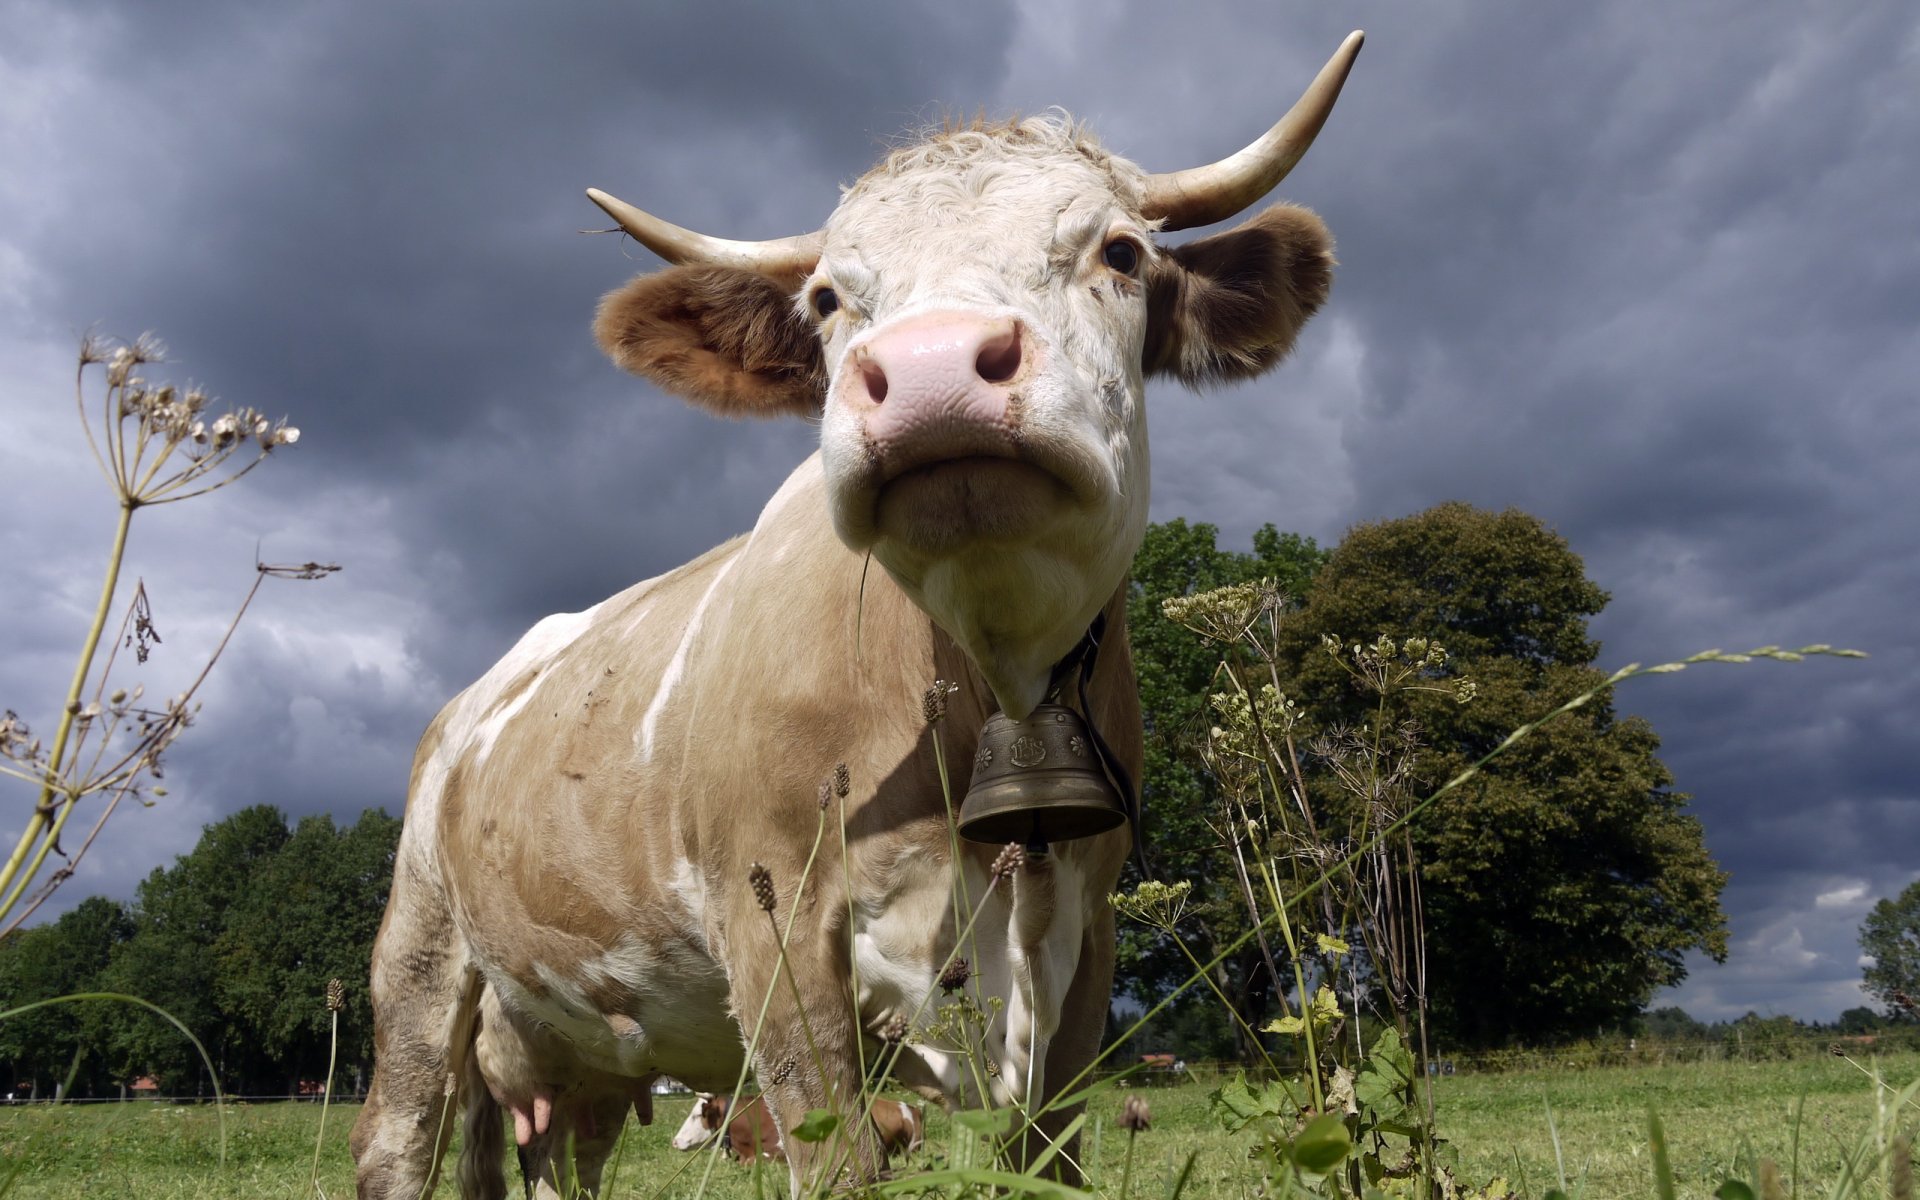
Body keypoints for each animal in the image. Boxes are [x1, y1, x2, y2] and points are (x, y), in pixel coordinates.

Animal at [350, 31, 1361, 1199]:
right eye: (829, 299)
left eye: (1120, 252)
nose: (930, 369)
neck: (980, 681)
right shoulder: (775, 926)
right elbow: (832, 1150)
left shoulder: (1087, 942)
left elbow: (1049, 1149)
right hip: (421, 959)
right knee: (398, 1137)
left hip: (579, 1061)